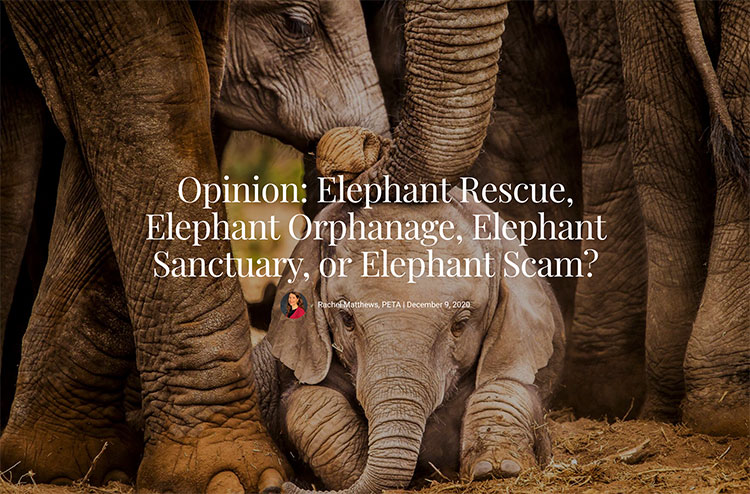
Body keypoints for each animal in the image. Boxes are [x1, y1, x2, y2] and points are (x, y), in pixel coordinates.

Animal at [251, 183, 565, 493]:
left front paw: (496, 469)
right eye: (346, 319)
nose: (277, 487)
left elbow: (507, 386)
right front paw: (354, 469)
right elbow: (311, 401)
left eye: (460, 324)